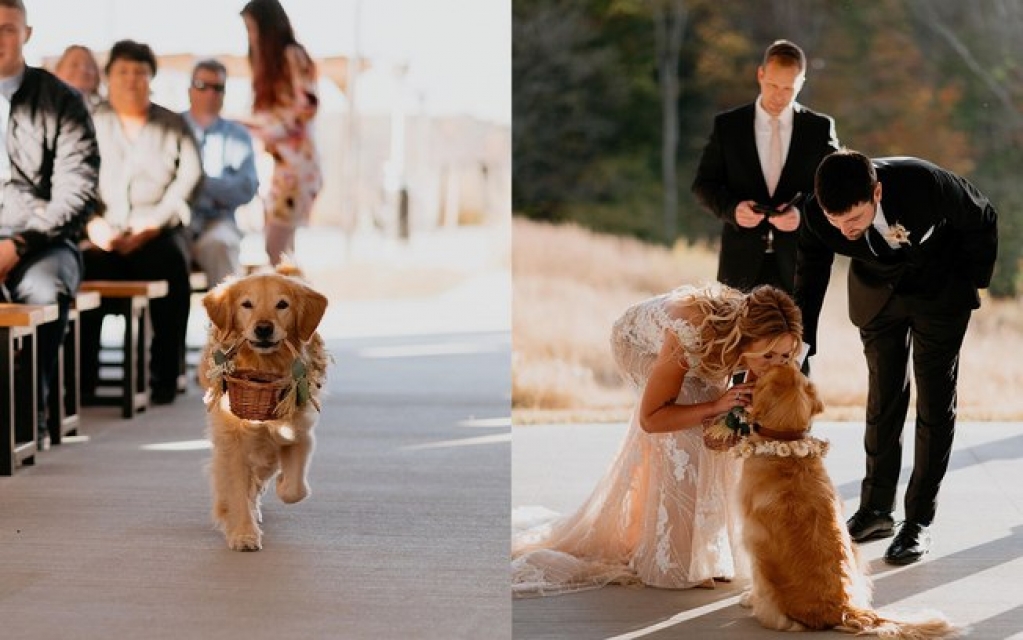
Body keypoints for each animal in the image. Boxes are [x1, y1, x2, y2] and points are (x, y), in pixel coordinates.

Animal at [197, 261, 329, 552]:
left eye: (282, 304)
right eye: (247, 304)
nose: (264, 328)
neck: (264, 365)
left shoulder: (298, 432)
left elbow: (294, 490)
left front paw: (282, 484)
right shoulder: (232, 441)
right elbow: (236, 489)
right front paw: (243, 533)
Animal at [736, 361, 957, 633]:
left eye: (768, 370)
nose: (787, 359)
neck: (786, 442)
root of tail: (842, 609)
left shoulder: (751, 535)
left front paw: (747, 595)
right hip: (856, 553)